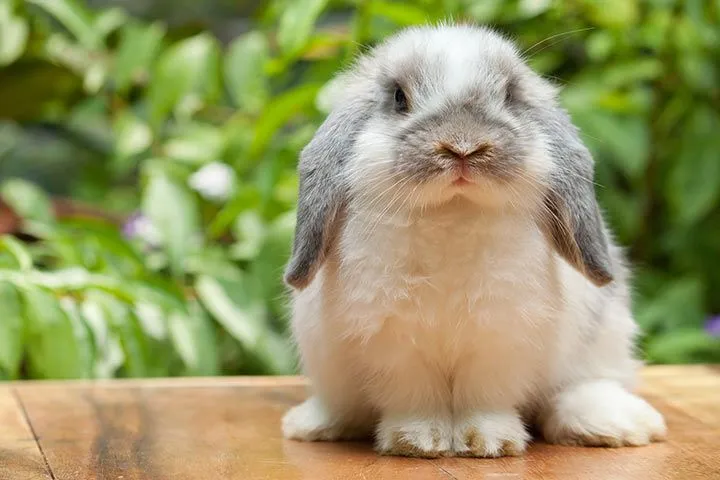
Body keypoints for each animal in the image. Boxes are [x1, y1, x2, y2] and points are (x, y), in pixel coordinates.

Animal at [280, 24, 667, 458]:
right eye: (399, 97)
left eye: (510, 95)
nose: (463, 146)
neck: (453, 213)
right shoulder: (394, 343)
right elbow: (415, 397)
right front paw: (418, 441)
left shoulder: (500, 337)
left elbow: (484, 397)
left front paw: (489, 442)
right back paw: (313, 423)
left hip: (603, 339)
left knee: (582, 387)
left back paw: (616, 424)